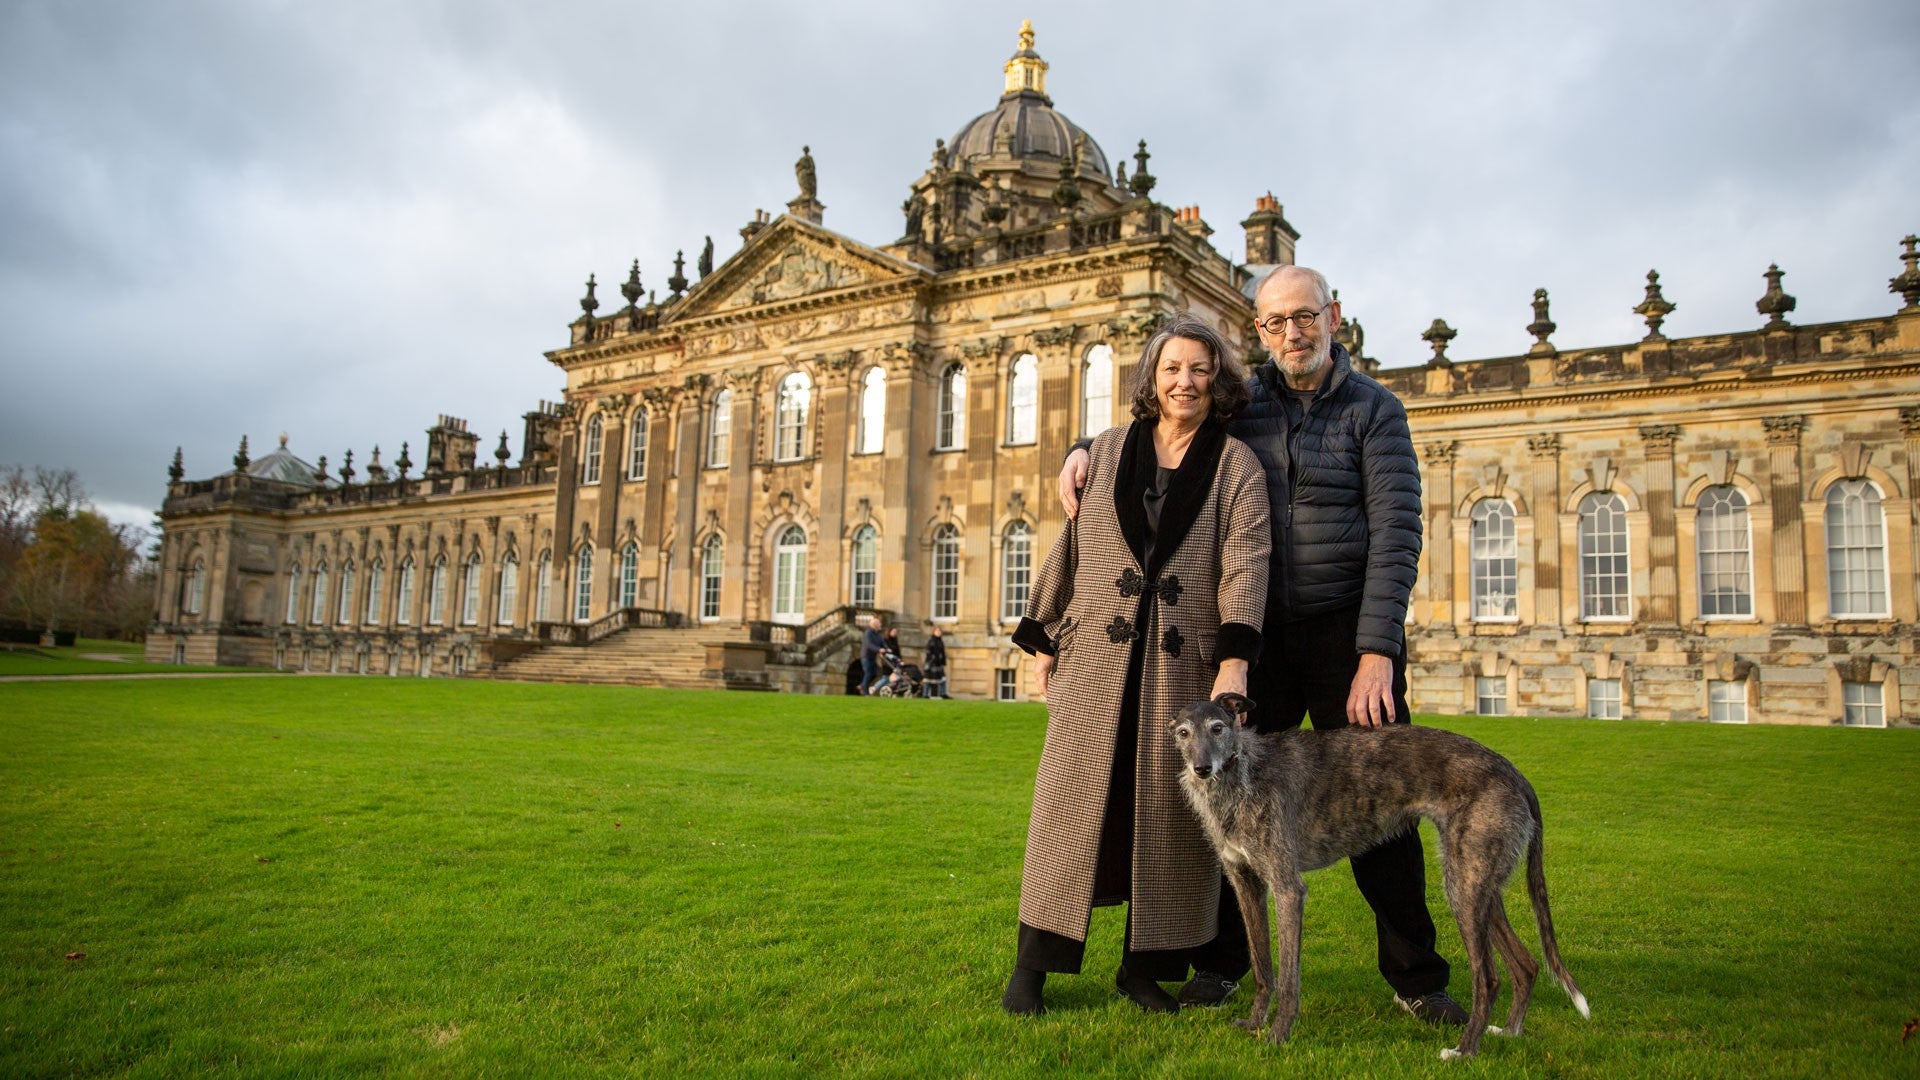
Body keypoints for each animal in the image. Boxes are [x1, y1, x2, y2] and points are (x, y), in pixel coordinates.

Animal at [1167, 691, 1589, 1053]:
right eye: (1183, 733)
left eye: (1218, 728)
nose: (1201, 769)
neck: (1244, 773)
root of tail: (1513, 772)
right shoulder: (1247, 883)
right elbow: (1262, 968)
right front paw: (1255, 1025)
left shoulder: (1288, 888)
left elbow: (1287, 978)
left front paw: (1277, 1036)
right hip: (1480, 884)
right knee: (1527, 964)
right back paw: (1510, 1031)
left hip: (1464, 886)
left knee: (1488, 977)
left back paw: (1464, 1051)